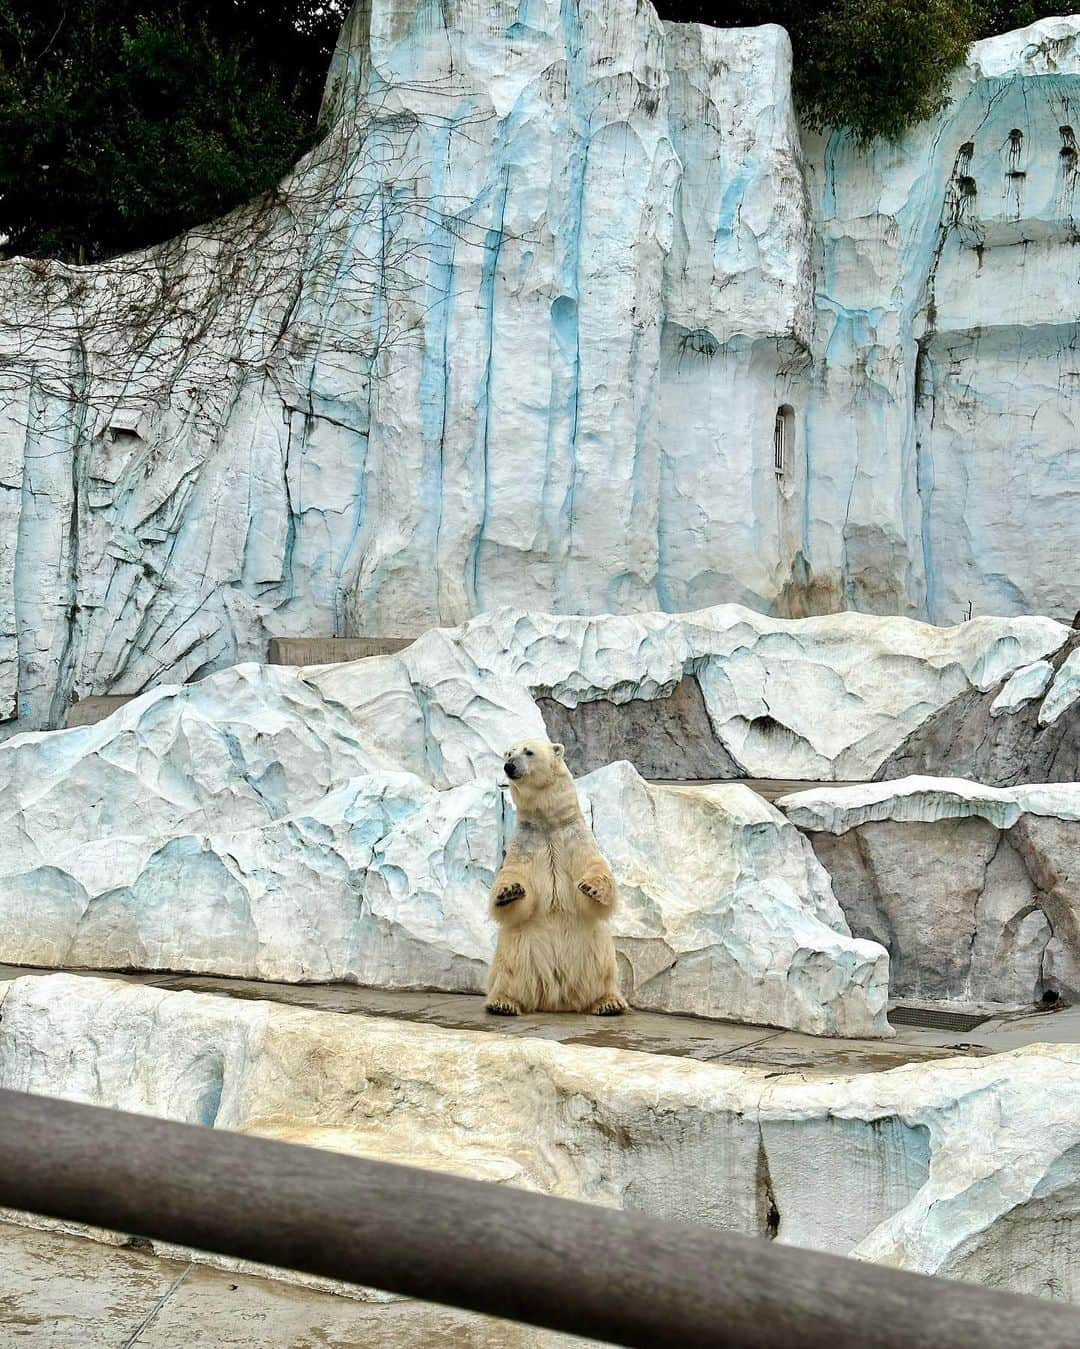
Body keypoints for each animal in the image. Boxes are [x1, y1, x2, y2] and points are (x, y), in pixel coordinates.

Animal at [485, 744, 628, 1014]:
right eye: (508, 753)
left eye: (528, 751)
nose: (510, 766)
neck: (547, 823)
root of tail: (558, 998)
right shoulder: (525, 843)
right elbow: (514, 878)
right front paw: (509, 891)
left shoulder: (575, 837)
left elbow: (595, 867)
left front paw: (591, 888)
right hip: (523, 947)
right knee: (510, 958)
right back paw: (503, 1002)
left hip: (591, 945)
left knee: (603, 957)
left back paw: (608, 1002)